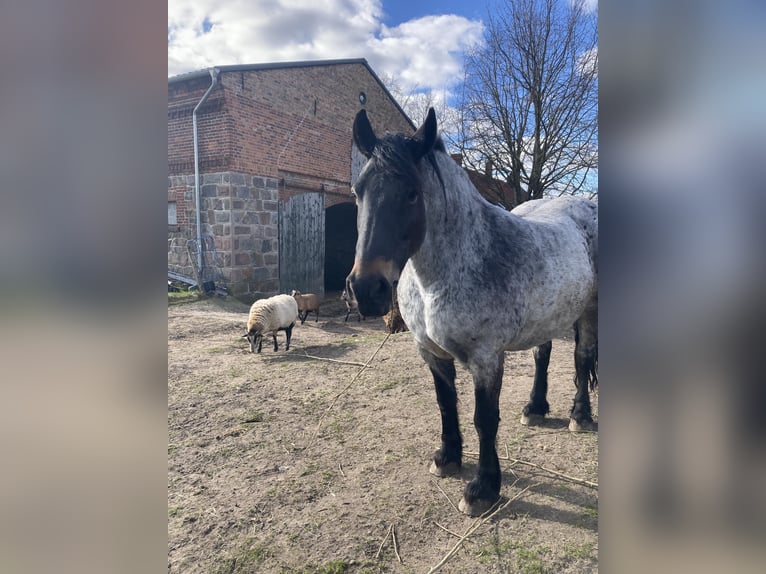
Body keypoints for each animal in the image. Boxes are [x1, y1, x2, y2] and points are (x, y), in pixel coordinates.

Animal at [348, 107, 600, 516]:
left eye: (412, 193)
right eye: (358, 191)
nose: (366, 290)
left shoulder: (486, 359)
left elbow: (485, 419)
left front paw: (483, 488)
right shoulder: (431, 353)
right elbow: (446, 403)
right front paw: (448, 458)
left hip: (590, 308)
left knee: (582, 356)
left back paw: (580, 416)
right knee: (543, 354)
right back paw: (535, 408)